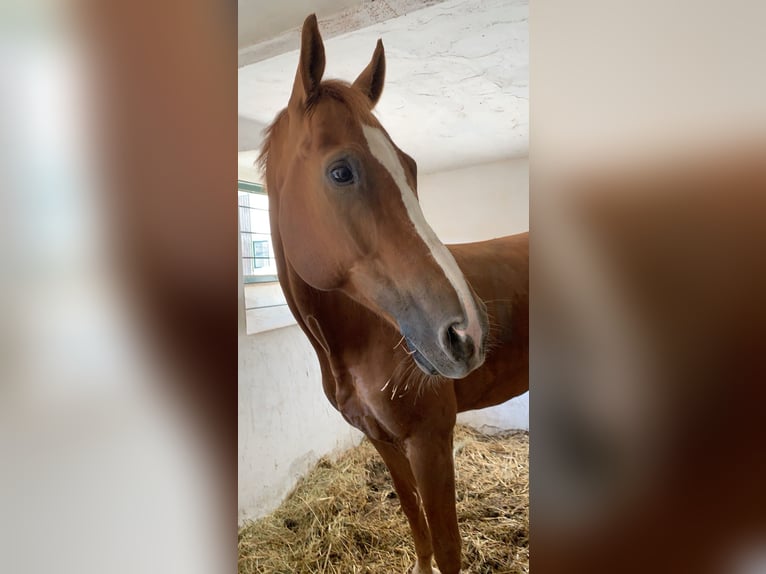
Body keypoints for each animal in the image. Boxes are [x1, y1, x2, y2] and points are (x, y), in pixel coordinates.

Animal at [258, 14, 528, 574]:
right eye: (341, 171)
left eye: (412, 167)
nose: (468, 332)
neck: (362, 338)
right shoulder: (382, 442)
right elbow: (416, 526)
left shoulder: (430, 441)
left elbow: (446, 548)